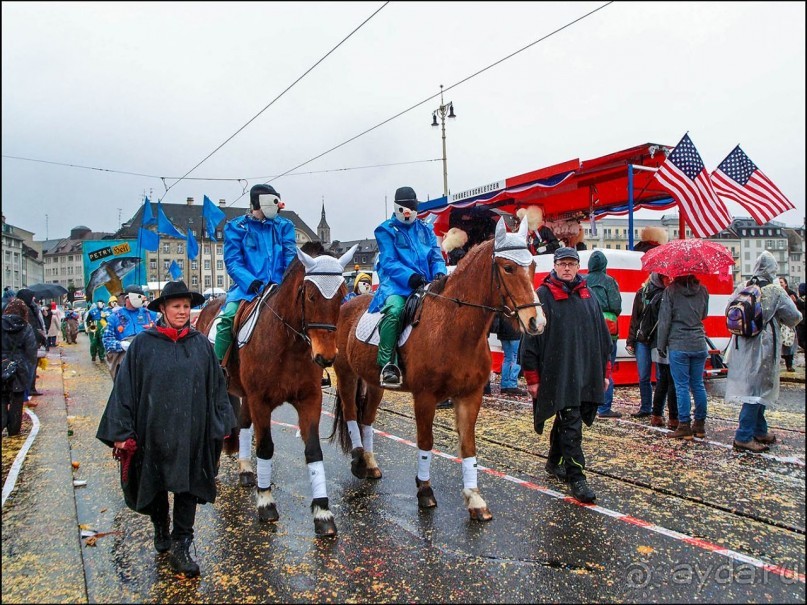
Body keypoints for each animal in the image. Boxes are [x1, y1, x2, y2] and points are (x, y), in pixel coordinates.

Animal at [196, 243, 356, 536]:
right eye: (311, 296)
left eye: (341, 296)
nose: (327, 356)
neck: (289, 345)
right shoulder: (261, 400)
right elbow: (266, 448)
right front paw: (266, 501)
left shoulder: (310, 398)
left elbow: (313, 451)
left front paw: (322, 511)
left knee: (243, 424)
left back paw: (246, 469)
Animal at [332, 217, 548, 520]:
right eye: (508, 267)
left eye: (534, 266)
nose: (537, 322)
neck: (454, 329)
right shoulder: (425, 397)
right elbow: (425, 442)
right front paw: (424, 491)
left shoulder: (470, 396)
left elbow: (468, 446)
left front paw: (475, 499)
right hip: (346, 374)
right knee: (352, 415)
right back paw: (358, 461)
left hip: (374, 384)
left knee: (367, 419)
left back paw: (371, 463)